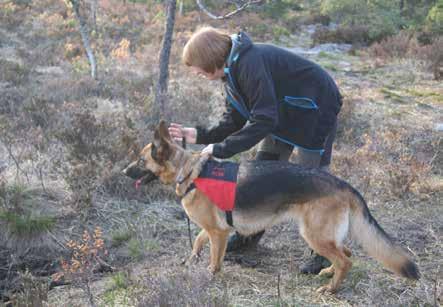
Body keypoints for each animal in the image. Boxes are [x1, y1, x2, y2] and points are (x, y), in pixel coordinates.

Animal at [124, 121, 420, 294]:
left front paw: (209, 276)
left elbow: (214, 259)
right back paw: (327, 273)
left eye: (140, 160)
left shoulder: (219, 233)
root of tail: (343, 184)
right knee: (346, 253)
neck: (189, 172)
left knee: (345, 259)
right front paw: (191, 259)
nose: (124, 171)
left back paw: (331, 289)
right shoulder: (215, 229)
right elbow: (198, 240)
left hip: (313, 234)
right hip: (325, 235)